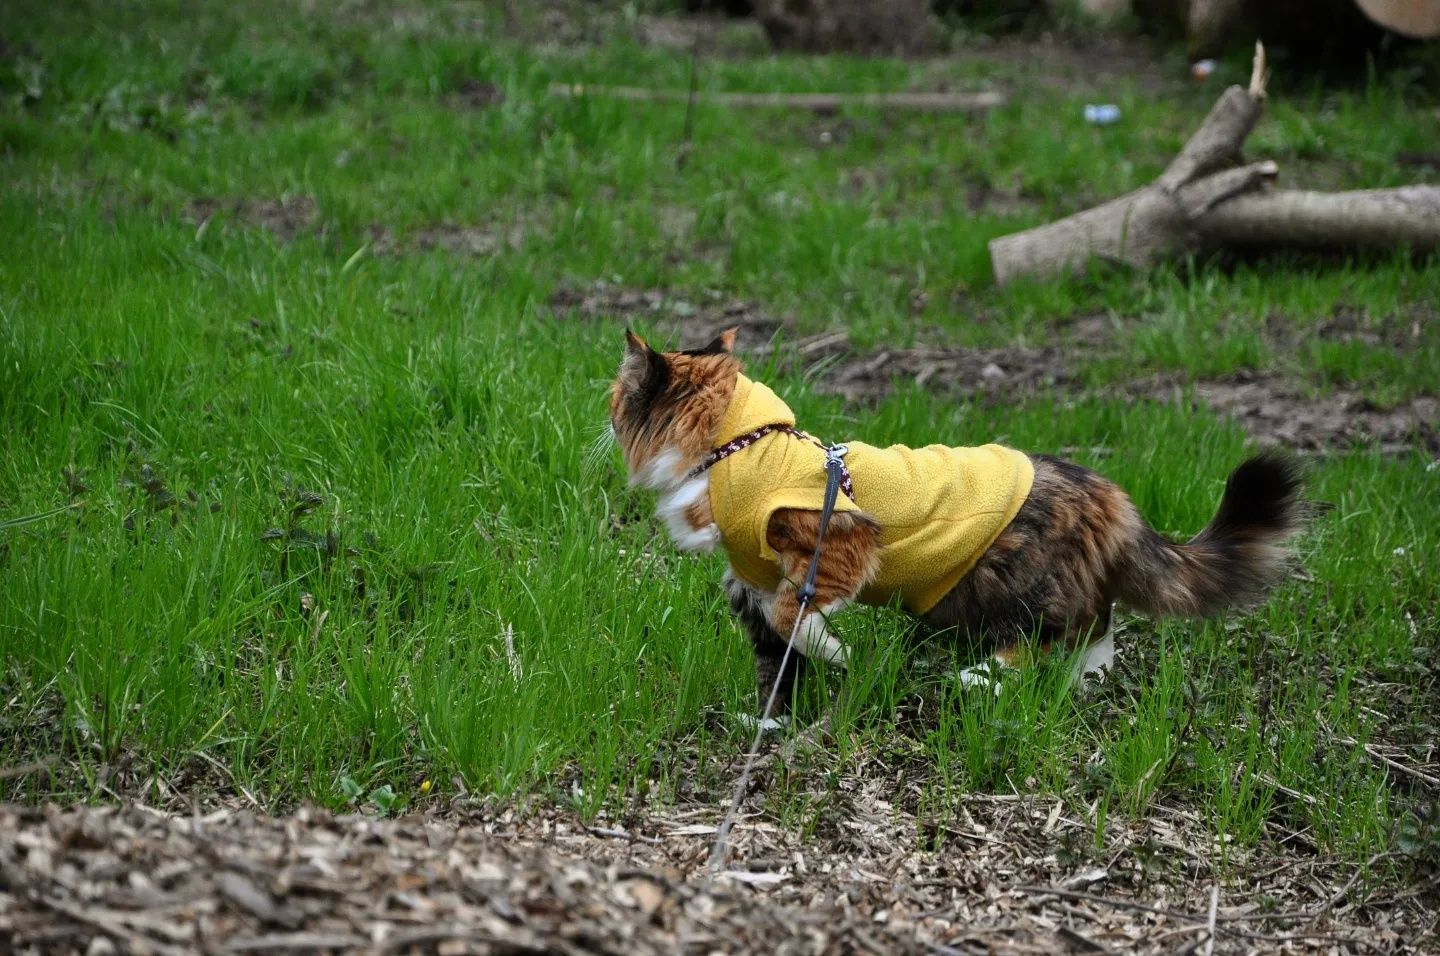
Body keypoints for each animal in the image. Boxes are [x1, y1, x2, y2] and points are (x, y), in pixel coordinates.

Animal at [607, 331, 1307, 725]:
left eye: (616, 401)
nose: (603, 421)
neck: (740, 449)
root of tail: (1105, 490)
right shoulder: (748, 588)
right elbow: (776, 660)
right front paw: (773, 724)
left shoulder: (835, 548)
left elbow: (794, 619)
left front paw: (839, 653)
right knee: (1097, 628)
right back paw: (1083, 683)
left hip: (1013, 586)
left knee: (1051, 634)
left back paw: (984, 677)